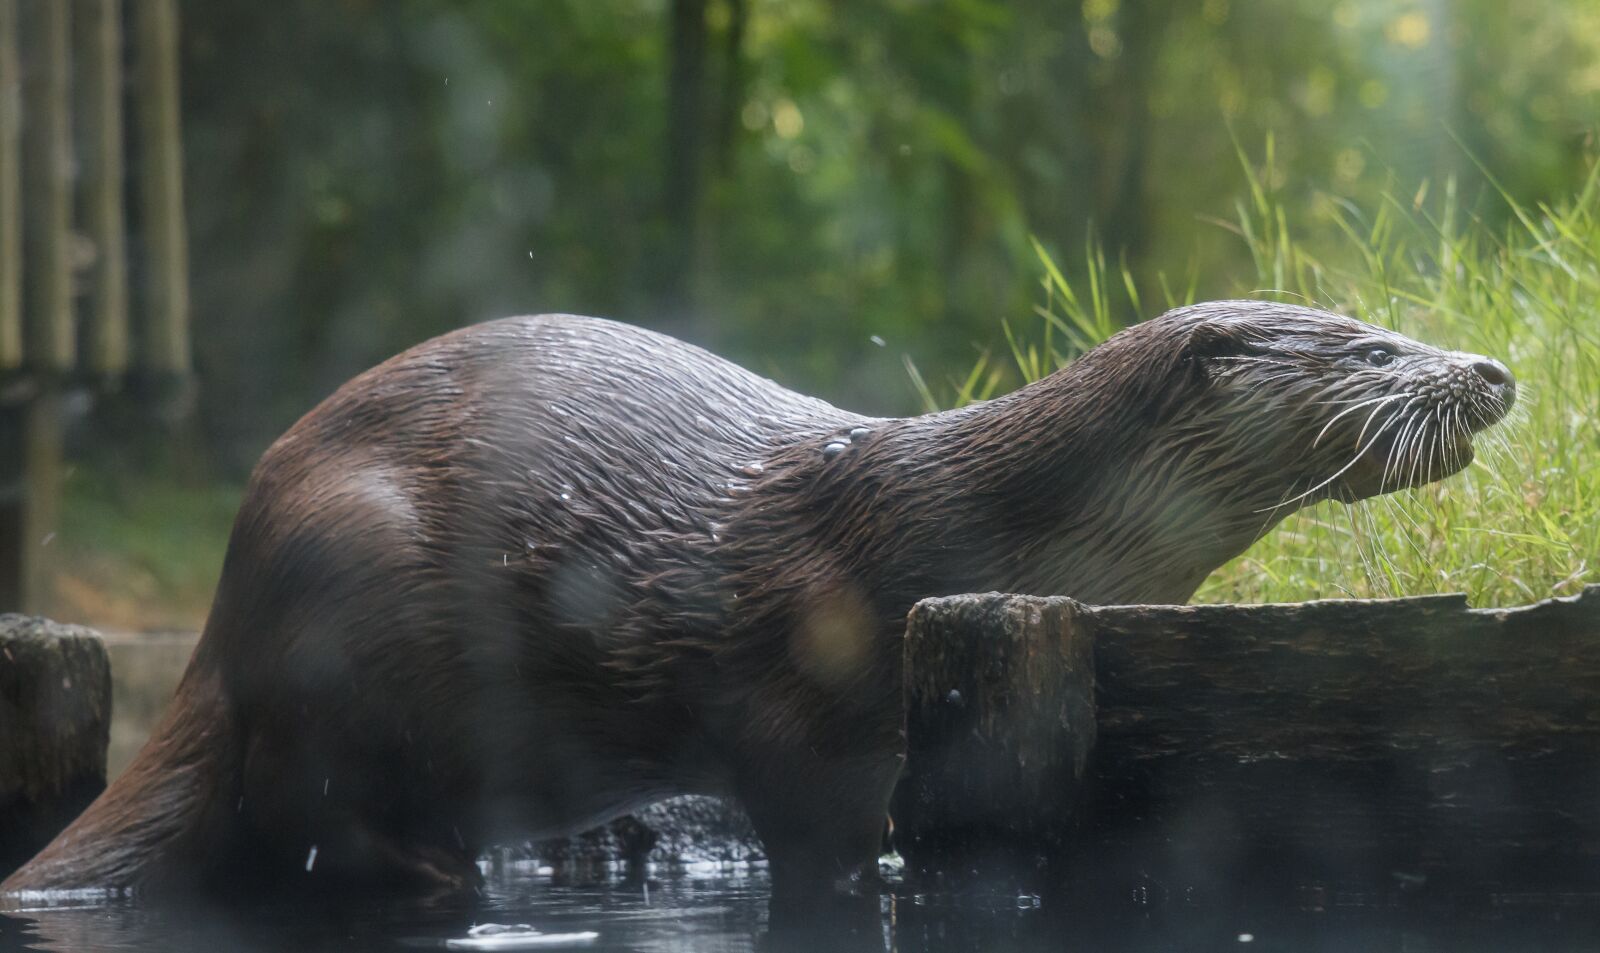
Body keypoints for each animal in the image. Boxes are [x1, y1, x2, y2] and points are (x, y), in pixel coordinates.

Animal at [2, 301, 1514, 911]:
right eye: (1371, 347)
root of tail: (226, 608)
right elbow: (819, 836)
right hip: (352, 596)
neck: (963, 529)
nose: (1494, 367)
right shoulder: (806, 696)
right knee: (299, 805)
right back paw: (440, 877)